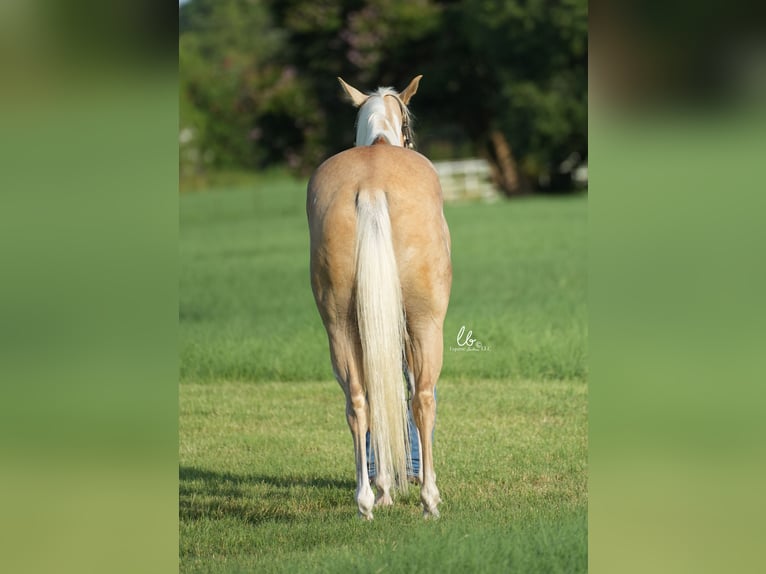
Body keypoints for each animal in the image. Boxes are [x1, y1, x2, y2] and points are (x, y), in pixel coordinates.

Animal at [306, 76, 450, 520]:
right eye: (408, 127)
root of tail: (369, 187)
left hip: (338, 324)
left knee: (359, 401)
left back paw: (368, 499)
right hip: (424, 322)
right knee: (422, 399)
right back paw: (429, 500)